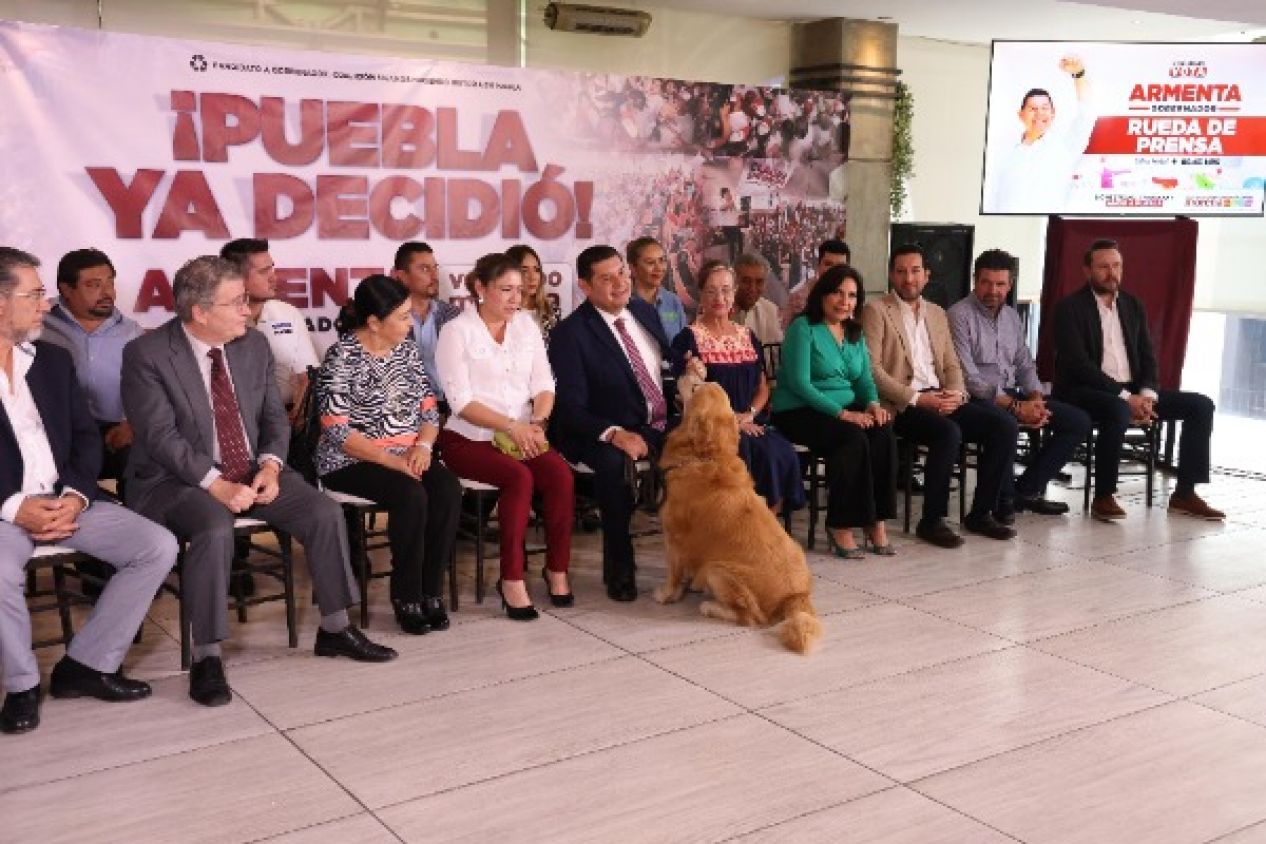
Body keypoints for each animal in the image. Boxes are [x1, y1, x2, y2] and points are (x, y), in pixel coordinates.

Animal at [653, 382, 820, 652]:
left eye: (696, 389)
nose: (694, 380)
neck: (707, 455)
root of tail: (795, 596)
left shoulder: (675, 538)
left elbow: (674, 572)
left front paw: (667, 594)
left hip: (717, 570)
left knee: (750, 617)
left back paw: (711, 606)